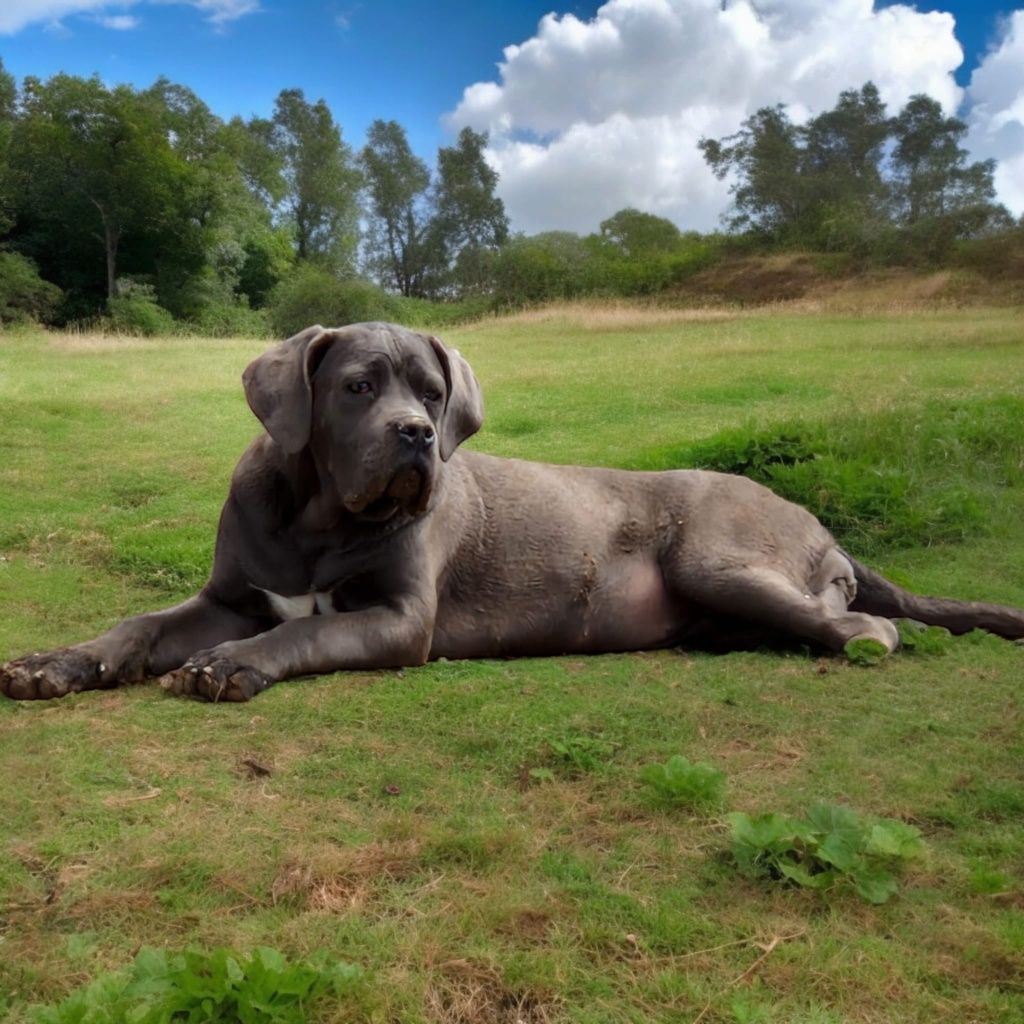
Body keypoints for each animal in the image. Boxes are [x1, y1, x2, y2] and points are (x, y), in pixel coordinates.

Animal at [2, 321, 1024, 704]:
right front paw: (55, 662)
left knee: (865, 626)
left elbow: (303, 632)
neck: (318, 518)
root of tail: (818, 520)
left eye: (431, 390)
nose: (417, 435)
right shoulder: (231, 594)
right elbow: (141, 622)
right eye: (358, 385)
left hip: (723, 559)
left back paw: (855, 643)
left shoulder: (399, 618)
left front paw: (231, 666)